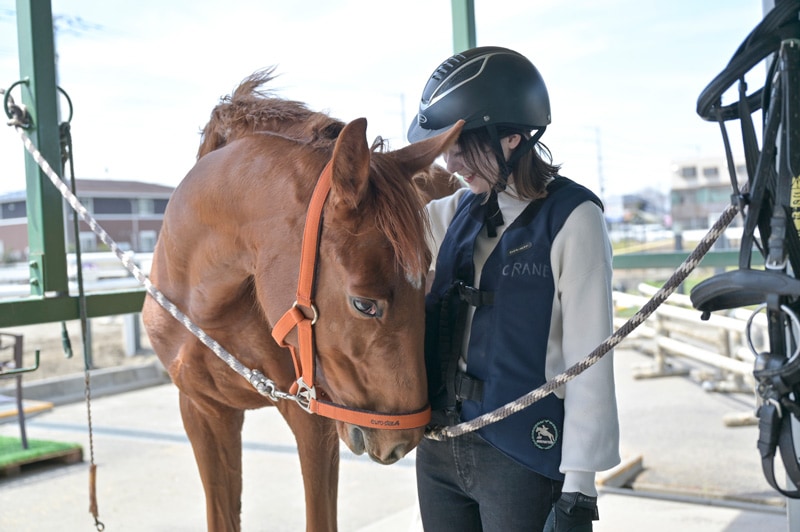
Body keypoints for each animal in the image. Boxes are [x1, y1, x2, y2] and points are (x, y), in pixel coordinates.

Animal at [144, 70, 462, 532]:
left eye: (426, 285)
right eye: (363, 304)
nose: (401, 439)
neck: (205, 306)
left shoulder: (313, 419)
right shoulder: (203, 411)